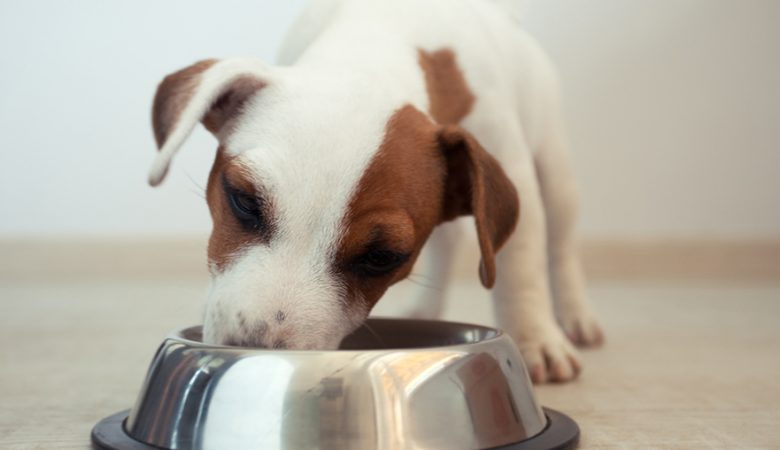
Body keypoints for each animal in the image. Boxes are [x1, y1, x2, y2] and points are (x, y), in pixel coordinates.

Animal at [148, 0, 604, 384]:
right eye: (244, 201)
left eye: (382, 257)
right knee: (450, 239)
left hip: (554, 170)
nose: (255, 352)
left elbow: (520, 267)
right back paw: (426, 310)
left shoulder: (513, 163)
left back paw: (575, 317)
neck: (376, 41)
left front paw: (535, 338)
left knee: (560, 247)